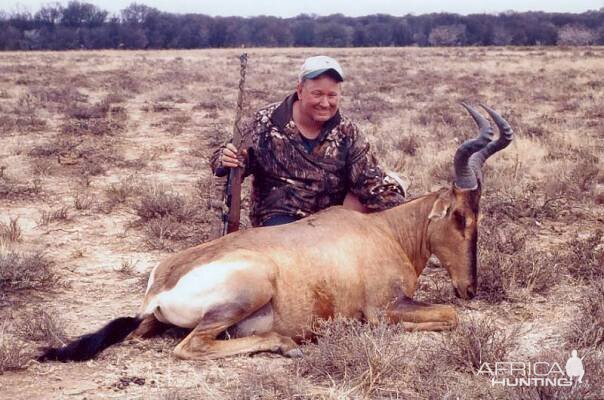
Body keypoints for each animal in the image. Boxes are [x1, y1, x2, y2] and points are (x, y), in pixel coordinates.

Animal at [37, 103, 512, 362]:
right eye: (460, 217)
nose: (470, 288)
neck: (383, 231)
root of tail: (160, 286)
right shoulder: (383, 308)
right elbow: (448, 317)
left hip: (160, 320)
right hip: (252, 288)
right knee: (191, 346)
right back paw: (288, 343)